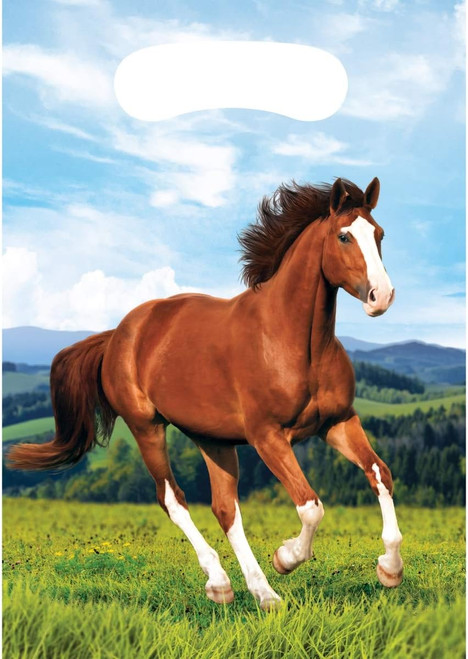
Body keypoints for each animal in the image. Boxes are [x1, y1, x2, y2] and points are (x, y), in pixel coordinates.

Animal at [8, 177, 403, 610]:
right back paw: (222, 584)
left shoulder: (337, 422)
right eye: (344, 236)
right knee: (173, 499)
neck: (291, 340)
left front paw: (390, 570)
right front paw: (285, 557)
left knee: (225, 509)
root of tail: (117, 335)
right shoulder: (267, 436)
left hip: (213, 439)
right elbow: (310, 506)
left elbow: (380, 474)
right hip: (146, 427)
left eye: (380, 234)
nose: (381, 297)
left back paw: (262, 593)